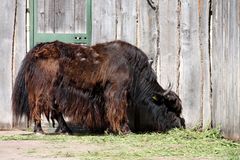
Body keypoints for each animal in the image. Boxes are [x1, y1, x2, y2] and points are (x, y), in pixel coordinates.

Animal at [11, 40, 186, 134]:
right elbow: (118, 110)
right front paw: (125, 130)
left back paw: (66, 130)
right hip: (42, 89)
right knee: (38, 107)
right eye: (170, 107)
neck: (132, 66)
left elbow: (108, 110)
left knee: (55, 110)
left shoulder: (104, 95)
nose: (181, 124)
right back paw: (40, 130)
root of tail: (37, 49)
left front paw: (110, 129)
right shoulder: (117, 92)